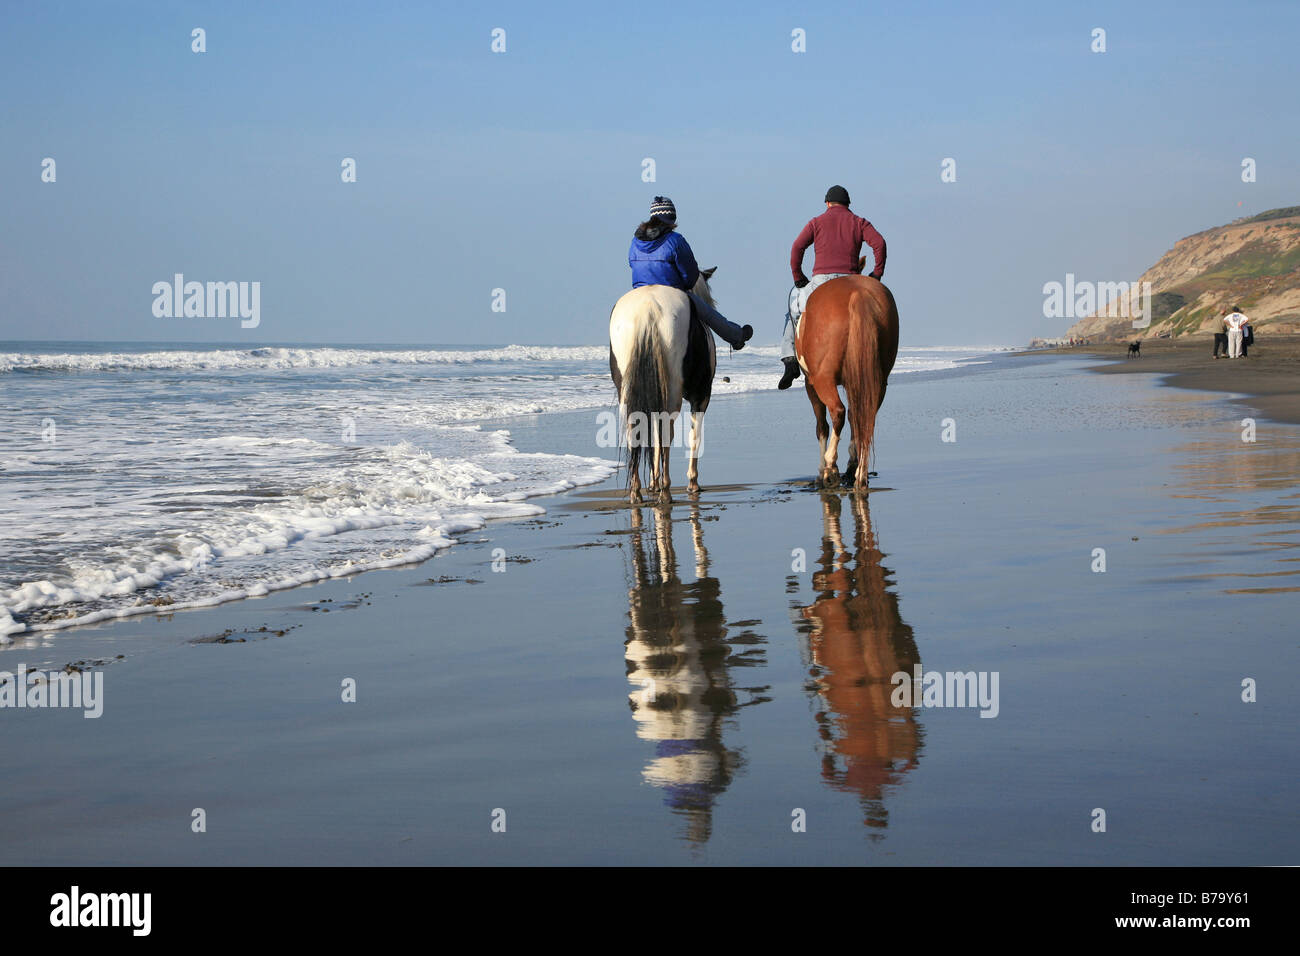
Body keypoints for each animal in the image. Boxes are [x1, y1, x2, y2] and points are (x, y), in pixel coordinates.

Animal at [609, 267, 718, 503]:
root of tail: (647, 307)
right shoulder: (702, 395)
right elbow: (693, 436)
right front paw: (691, 482)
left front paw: (653, 482)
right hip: (673, 389)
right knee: (666, 430)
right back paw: (666, 491)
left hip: (627, 389)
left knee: (635, 429)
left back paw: (637, 491)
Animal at [794, 259, 899, 493]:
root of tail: (858, 294)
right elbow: (854, 417)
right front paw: (850, 462)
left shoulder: (810, 384)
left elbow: (822, 427)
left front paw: (822, 470)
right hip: (879, 381)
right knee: (866, 417)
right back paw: (859, 473)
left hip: (823, 380)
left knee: (838, 413)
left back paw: (830, 468)